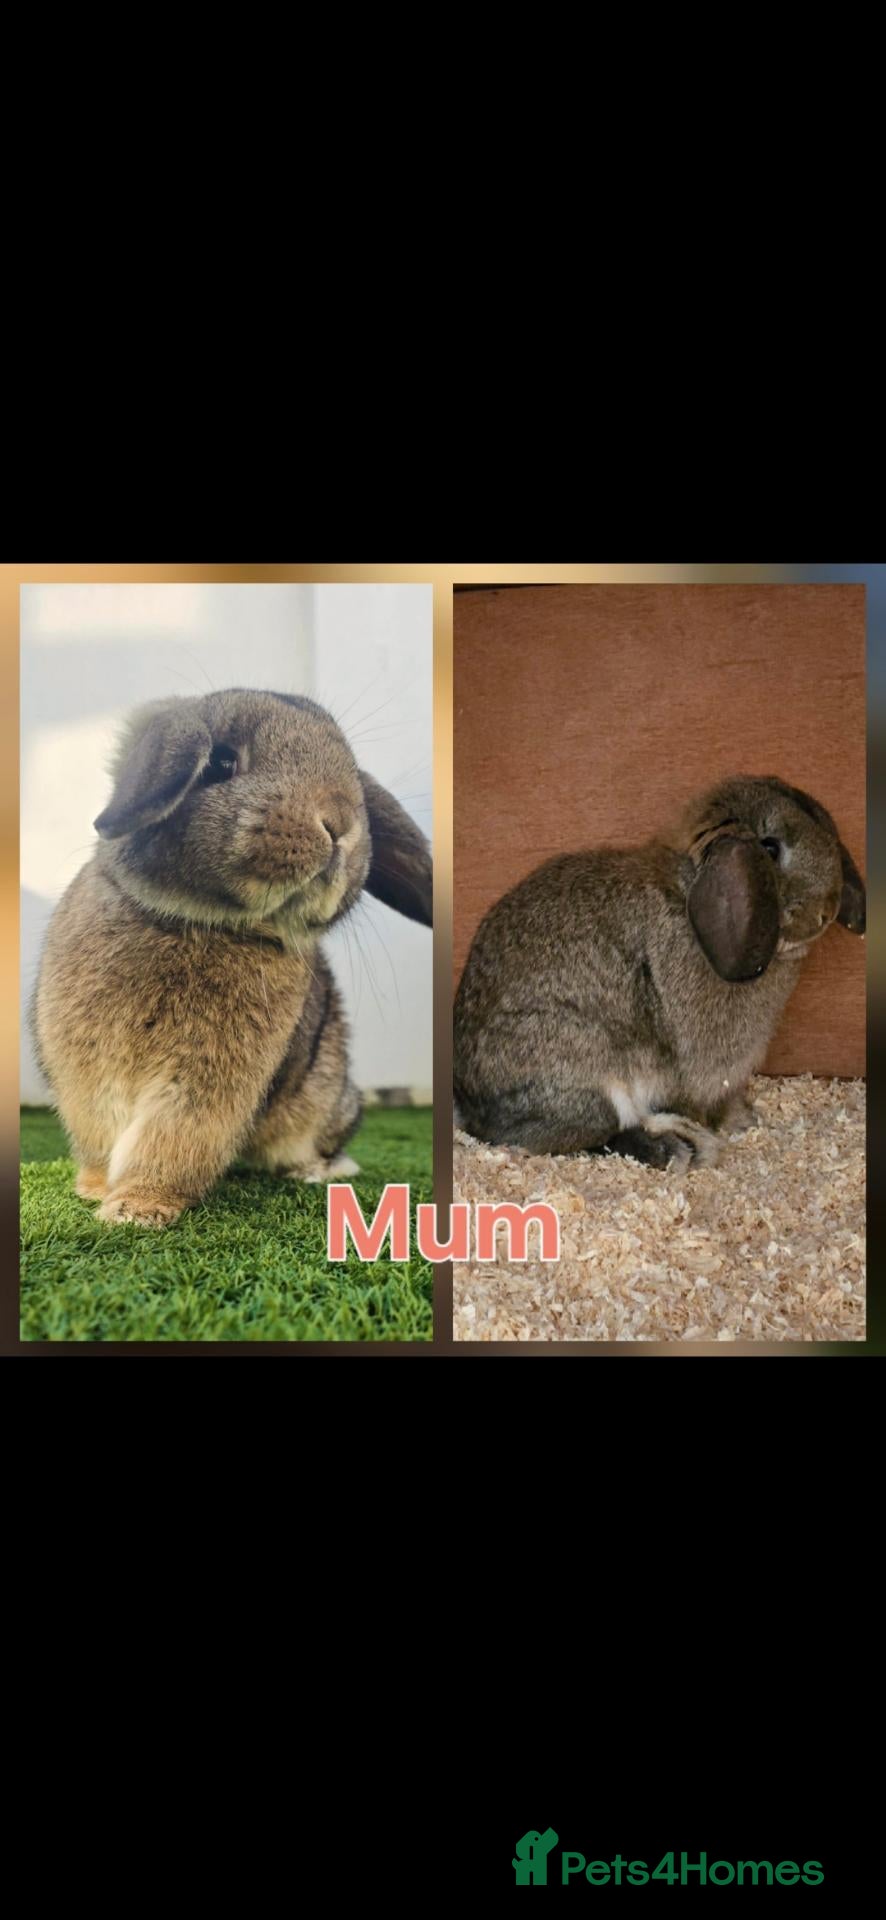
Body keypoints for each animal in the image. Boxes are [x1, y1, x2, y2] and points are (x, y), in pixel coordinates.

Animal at [33, 689, 432, 1227]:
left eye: (355, 781)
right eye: (220, 761)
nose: (340, 823)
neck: (201, 921)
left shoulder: (203, 1085)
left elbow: (171, 1139)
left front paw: (137, 1207)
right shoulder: (89, 1073)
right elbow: (102, 1134)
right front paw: (96, 1191)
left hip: (327, 1099)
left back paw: (317, 1171)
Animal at [453, 776, 864, 1168]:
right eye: (770, 848)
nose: (827, 909)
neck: (687, 896)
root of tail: (470, 1107)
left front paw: (744, 1121)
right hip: (582, 1076)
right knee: (566, 1136)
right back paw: (677, 1147)